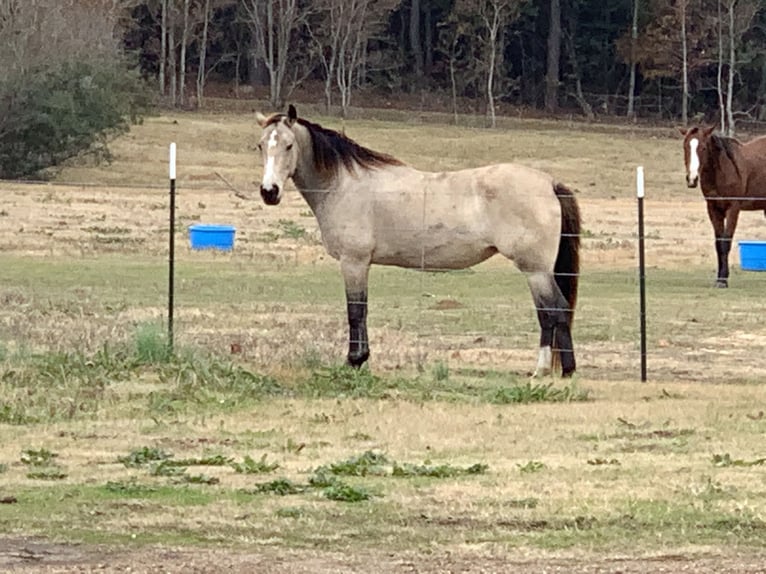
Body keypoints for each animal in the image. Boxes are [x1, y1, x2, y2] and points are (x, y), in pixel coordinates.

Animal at [256, 107, 584, 378]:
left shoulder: (354, 262)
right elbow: (361, 310)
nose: (269, 192)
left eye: (288, 145)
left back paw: (550, 369)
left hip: (535, 271)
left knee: (553, 311)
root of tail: (549, 183)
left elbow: (356, 311)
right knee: (551, 313)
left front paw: (355, 360)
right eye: (260, 145)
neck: (344, 185)